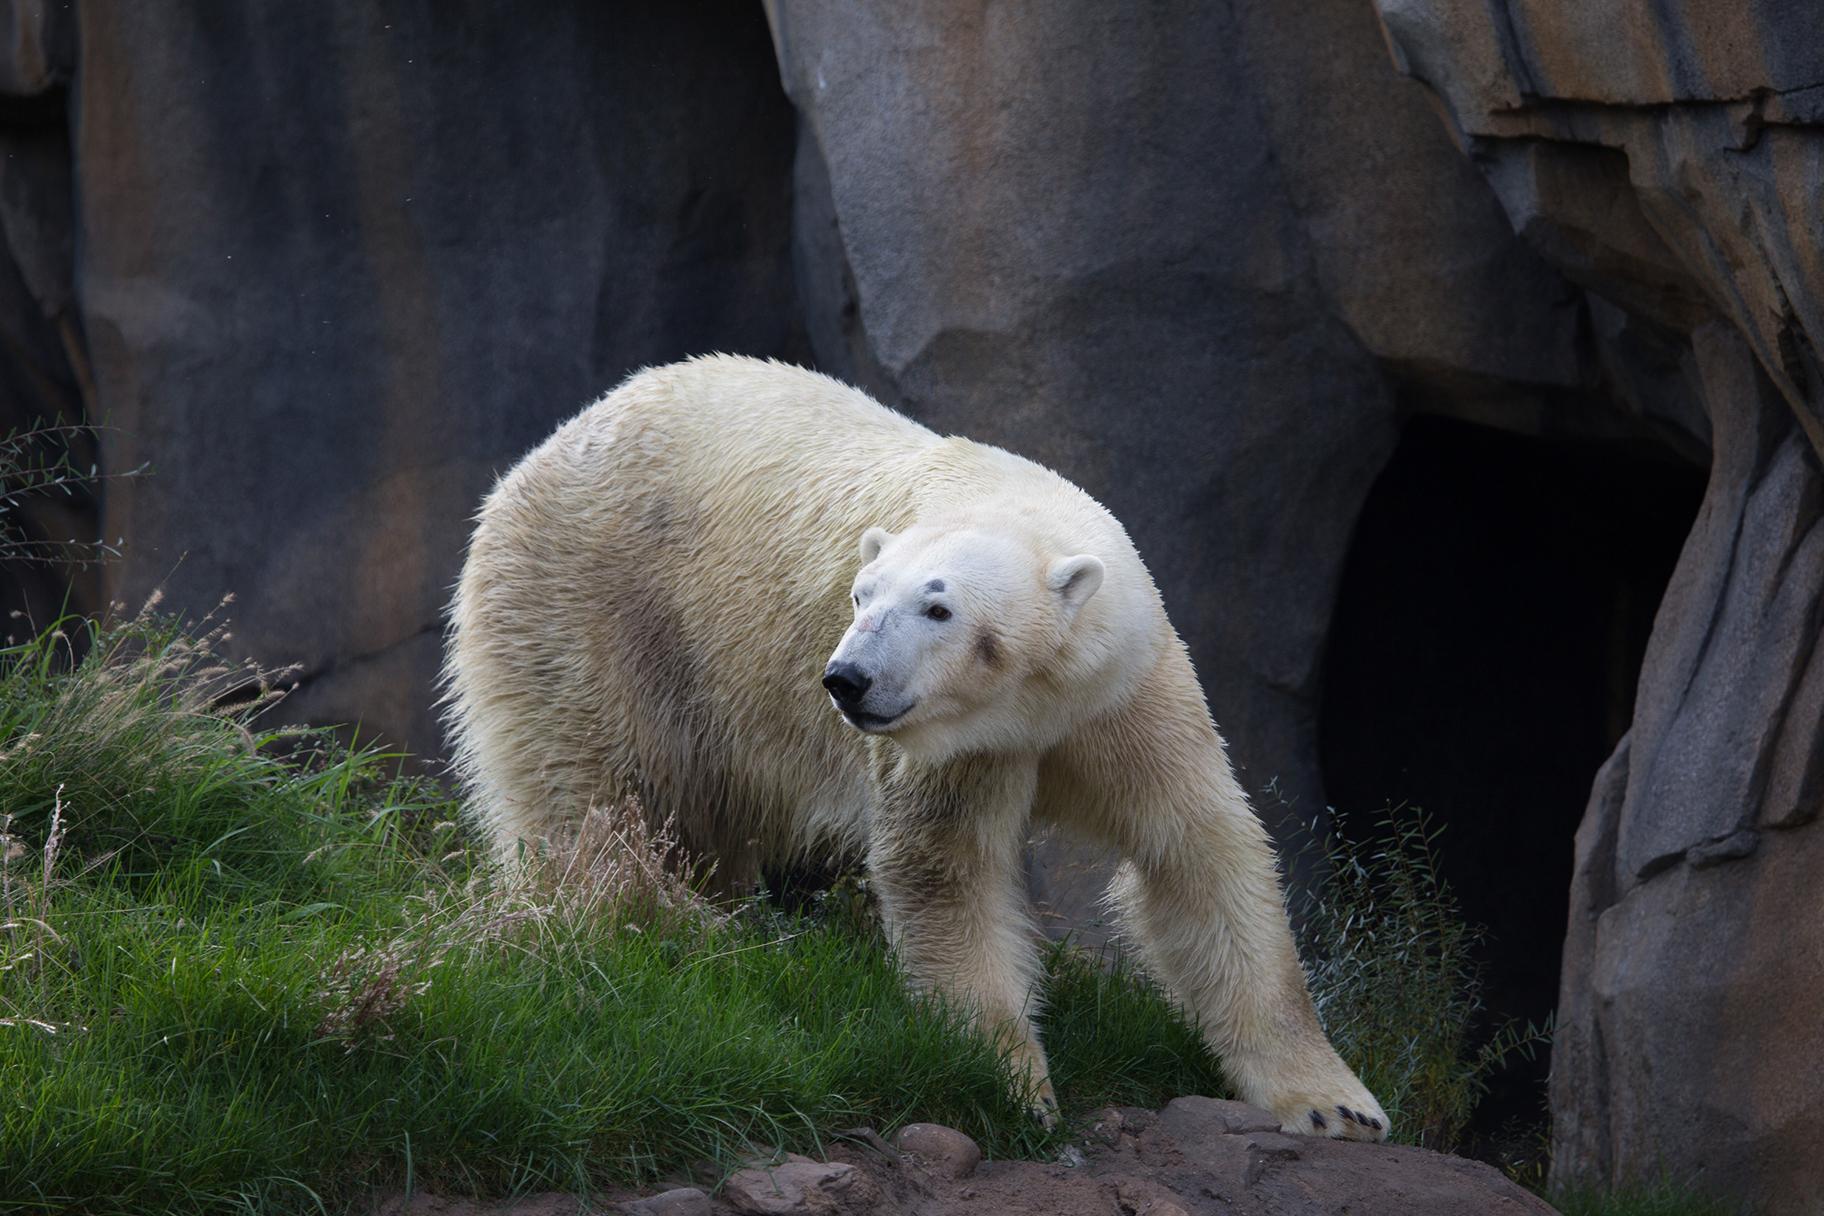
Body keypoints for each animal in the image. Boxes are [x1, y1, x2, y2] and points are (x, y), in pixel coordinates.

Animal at [441, 351, 1378, 1144]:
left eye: (939, 607)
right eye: (860, 595)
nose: (846, 679)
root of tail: (542, 452)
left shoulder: (1121, 693)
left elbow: (1198, 852)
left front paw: (1337, 1105)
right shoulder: (945, 747)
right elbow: (944, 874)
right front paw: (1016, 1088)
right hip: (588, 611)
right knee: (589, 801)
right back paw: (681, 924)